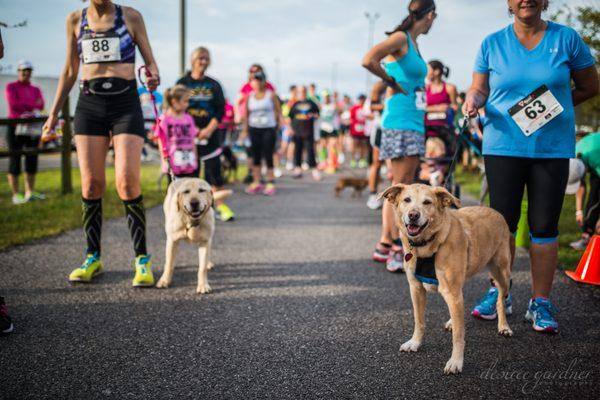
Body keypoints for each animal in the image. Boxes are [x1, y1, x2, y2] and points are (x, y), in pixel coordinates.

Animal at [382, 184, 512, 376]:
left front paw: (456, 362)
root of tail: (494, 211)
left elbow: (458, 335)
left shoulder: (451, 292)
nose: (413, 215)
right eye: (407, 200)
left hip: (501, 272)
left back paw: (504, 326)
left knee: (501, 298)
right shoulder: (416, 289)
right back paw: (453, 321)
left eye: (427, 202)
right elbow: (419, 321)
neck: (429, 244)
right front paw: (415, 342)